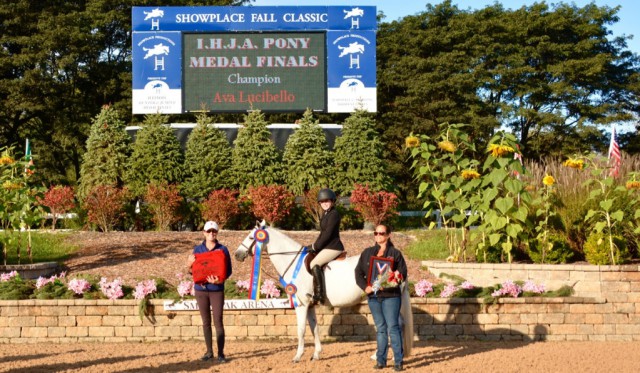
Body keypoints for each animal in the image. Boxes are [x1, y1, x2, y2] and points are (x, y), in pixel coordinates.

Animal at [236, 222, 416, 362]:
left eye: (251, 237)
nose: (238, 255)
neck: (294, 262)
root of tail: (396, 269)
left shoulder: (301, 304)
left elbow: (301, 330)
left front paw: (297, 356)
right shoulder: (310, 305)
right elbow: (314, 328)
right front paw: (316, 354)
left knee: (394, 325)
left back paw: (384, 356)